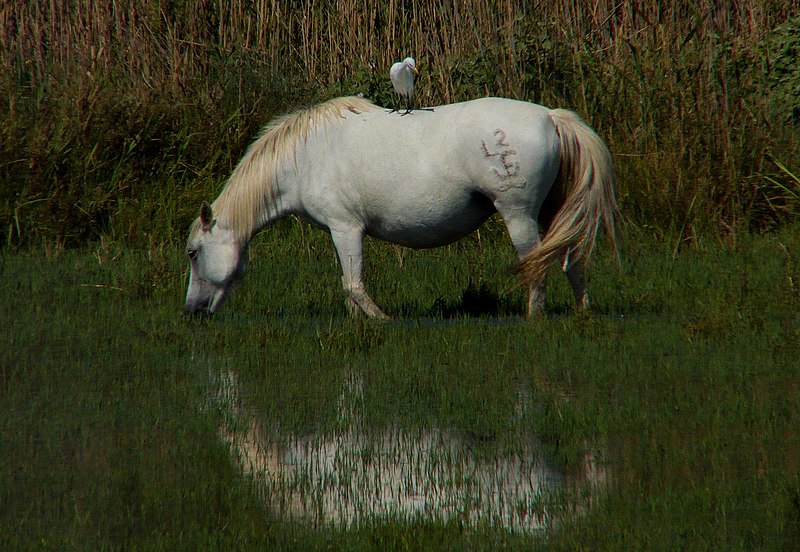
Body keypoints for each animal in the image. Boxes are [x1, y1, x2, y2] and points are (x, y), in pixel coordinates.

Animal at [184, 96, 616, 320]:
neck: (303, 157)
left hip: (519, 215)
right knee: (573, 259)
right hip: (551, 211)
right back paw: (582, 311)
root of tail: (551, 117)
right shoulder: (340, 233)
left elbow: (354, 284)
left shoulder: (346, 228)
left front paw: (380, 321)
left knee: (536, 264)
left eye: (193, 252)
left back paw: (534, 318)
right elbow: (348, 285)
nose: (192, 309)